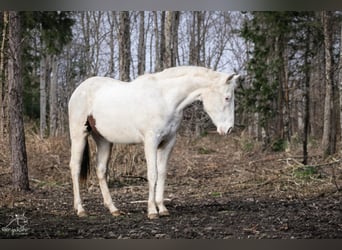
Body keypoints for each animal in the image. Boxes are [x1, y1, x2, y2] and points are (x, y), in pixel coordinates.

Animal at [69, 66, 240, 219]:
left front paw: (162, 208)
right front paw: (152, 211)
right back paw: (80, 209)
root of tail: (78, 90)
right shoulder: (151, 142)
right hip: (79, 136)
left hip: (103, 140)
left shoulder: (168, 142)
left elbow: (162, 173)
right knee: (75, 167)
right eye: (227, 97)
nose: (229, 129)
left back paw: (113, 209)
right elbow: (152, 174)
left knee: (101, 171)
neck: (165, 99)